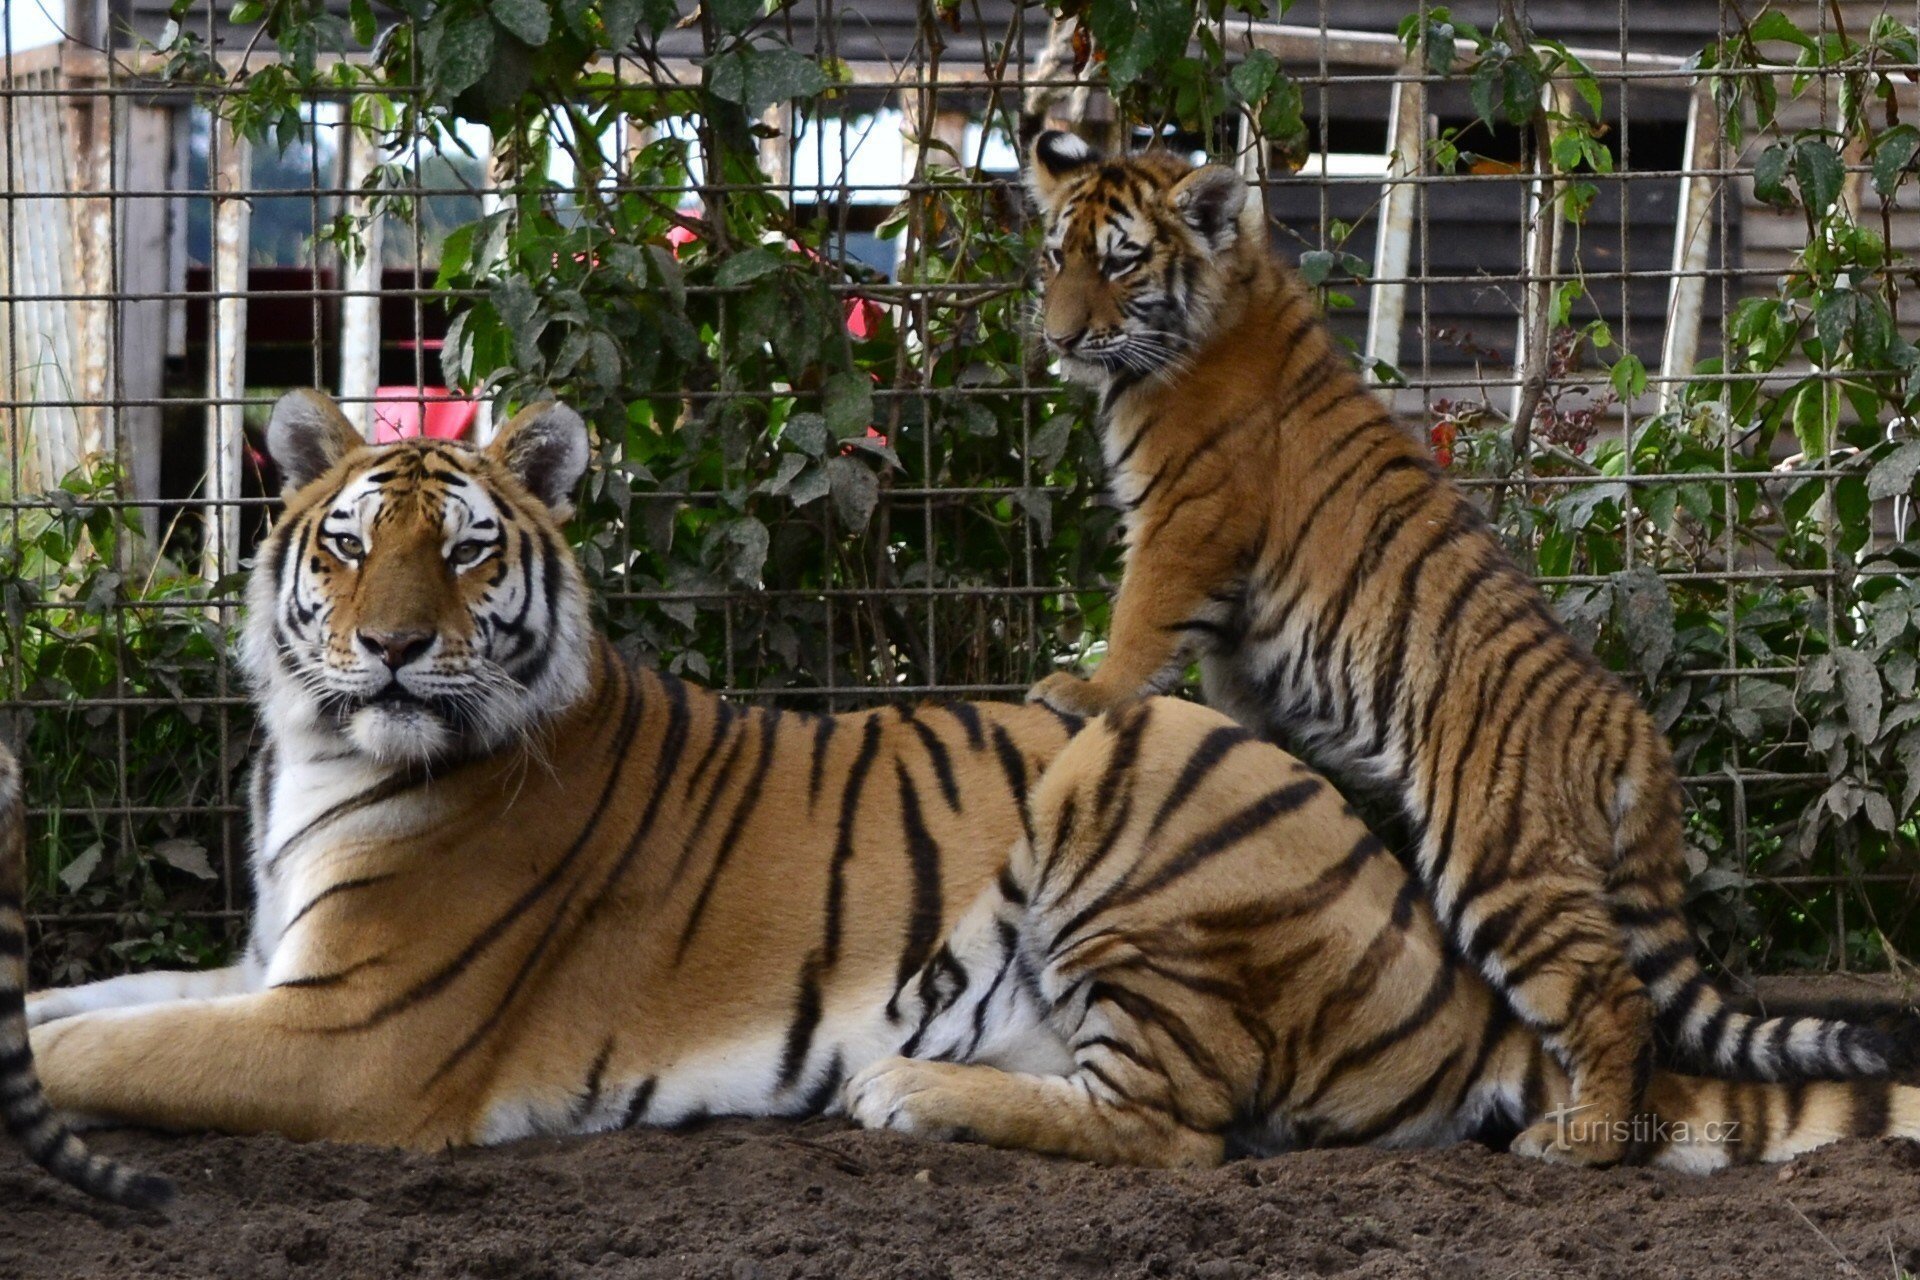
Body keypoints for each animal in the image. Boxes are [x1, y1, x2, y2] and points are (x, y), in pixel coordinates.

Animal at [18, 391, 1920, 1174]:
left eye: (470, 554)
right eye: (345, 547)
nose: (399, 651)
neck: (323, 755)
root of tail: (1438, 965)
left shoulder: (356, 1034)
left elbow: (107, 1054)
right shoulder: (269, 965)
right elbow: (76, 1003)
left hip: (1135, 772)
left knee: (1179, 1134)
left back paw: (906, 1095)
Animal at [1021, 127, 1904, 1159]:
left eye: (1120, 262)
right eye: (1055, 258)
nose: (1059, 339)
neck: (1213, 308)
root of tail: (1634, 729)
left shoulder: (1187, 524)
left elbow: (1138, 620)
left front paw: (1084, 691)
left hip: (1503, 864)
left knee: (1614, 1004)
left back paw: (1579, 1140)